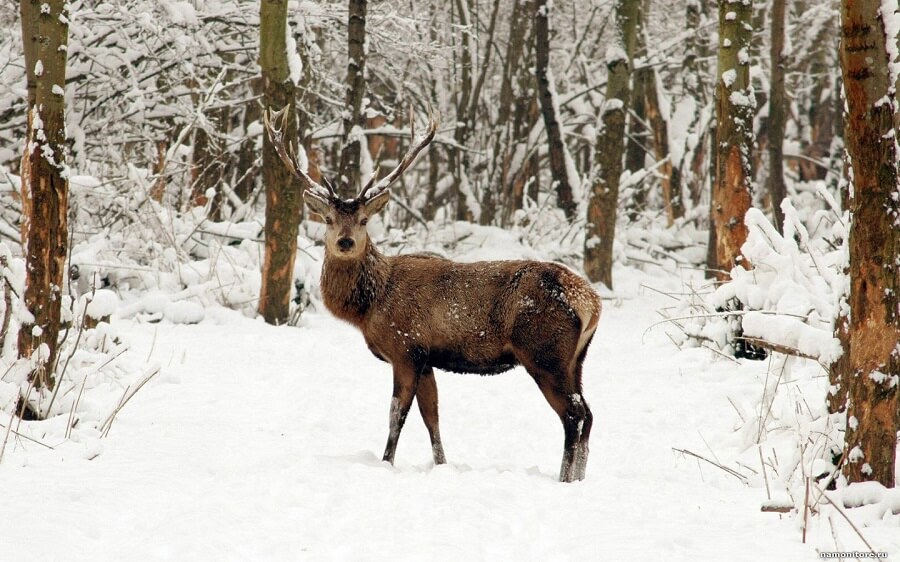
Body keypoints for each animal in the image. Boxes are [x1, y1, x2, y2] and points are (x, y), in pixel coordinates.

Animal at [264, 106, 600, 482]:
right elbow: (432, 418)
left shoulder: (406, 348)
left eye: (364, 220)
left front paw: (386, 463)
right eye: (328, 220)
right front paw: (441, 465)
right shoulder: (426, 360)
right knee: (589, 414)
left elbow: (396, 415)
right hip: (576, 359)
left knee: (573, 415)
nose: (346, 242)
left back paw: (564, 479)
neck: (370, 306)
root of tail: (590, 302)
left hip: (544, 352)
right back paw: (579, 478)